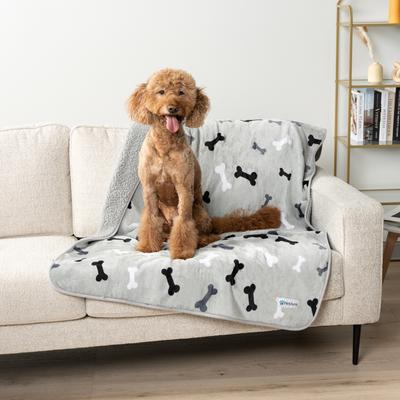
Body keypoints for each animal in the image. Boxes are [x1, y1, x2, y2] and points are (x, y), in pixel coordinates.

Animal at [128, 68, 280, 260]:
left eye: (181, 92)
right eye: (161, 92)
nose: (172, 108)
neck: (165, 146)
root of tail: (212, 222)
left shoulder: (184, 188)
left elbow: (184, 222)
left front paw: (182, 251)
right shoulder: (149, 188)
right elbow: (150, 219)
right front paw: (148, 246)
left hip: (199, 214)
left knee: (207, 234)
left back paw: (199, 240)